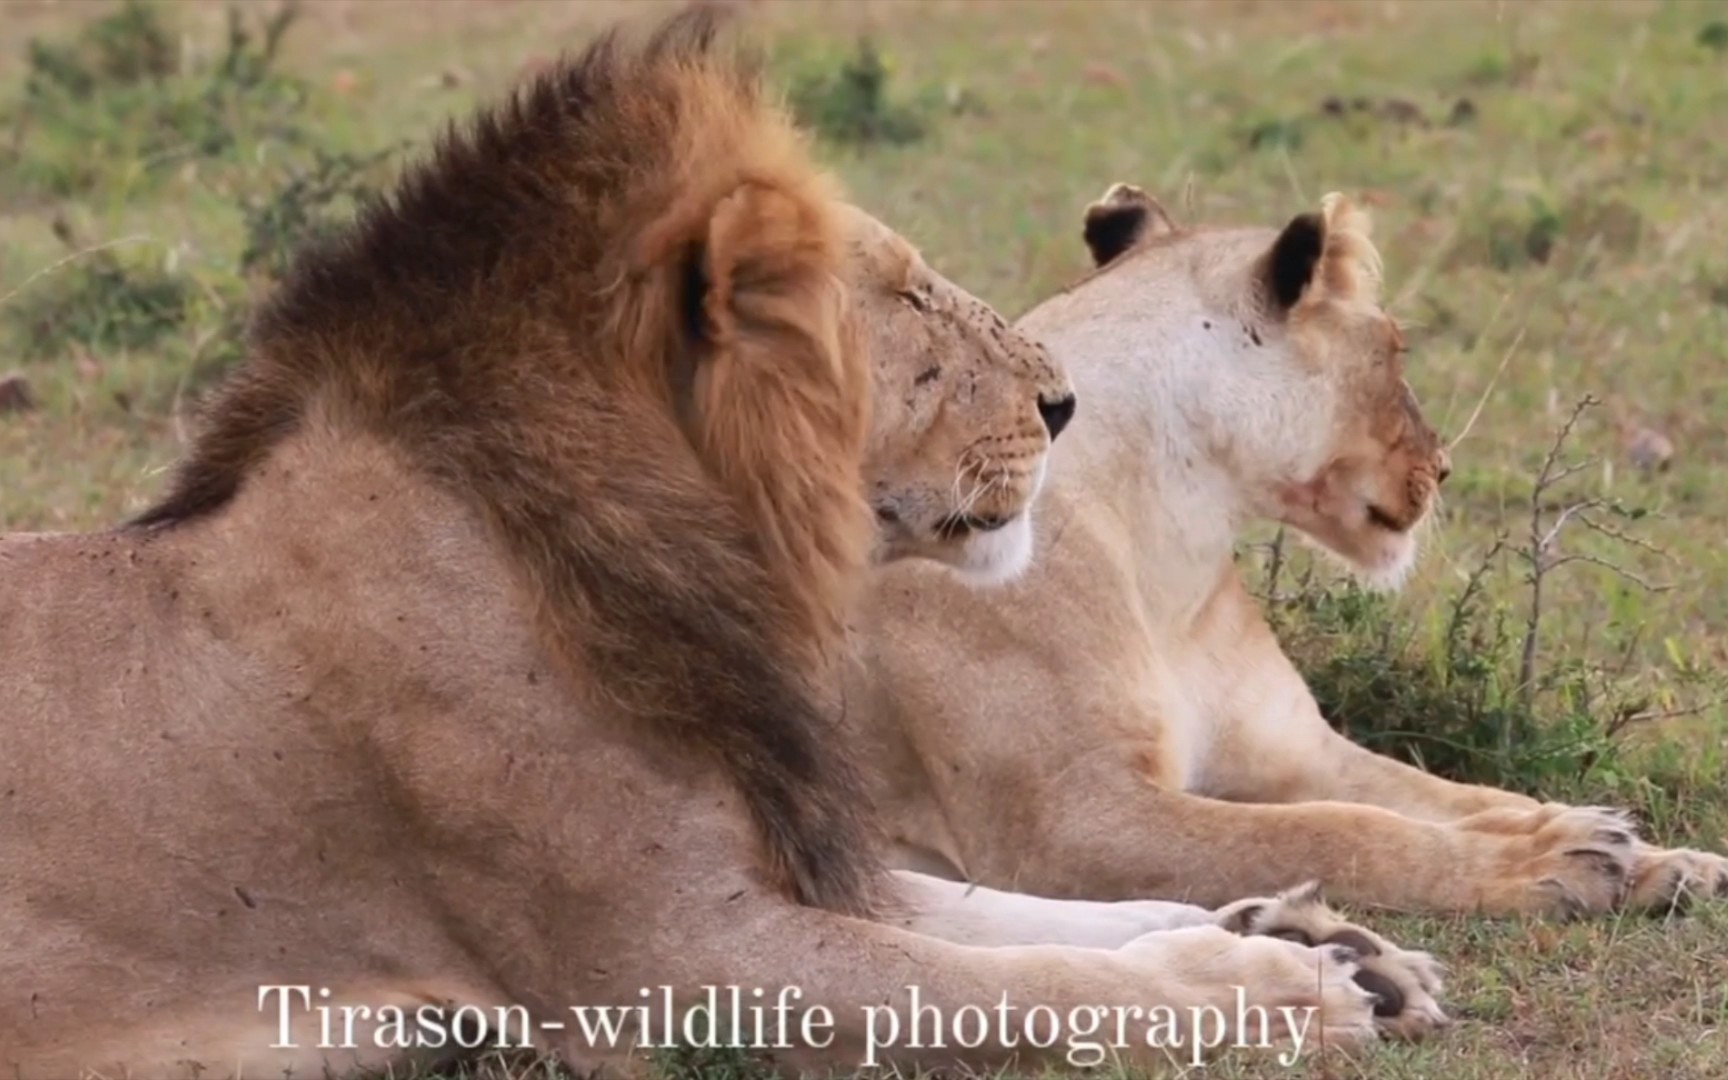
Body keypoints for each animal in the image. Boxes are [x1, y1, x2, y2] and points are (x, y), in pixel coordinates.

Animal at [0, 19, 1444, 1078]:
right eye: (906, 297)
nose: (1064, 402)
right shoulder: (664, 959)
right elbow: (1020, 982)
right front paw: (1275, 990)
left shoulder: (778, 858)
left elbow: (1051, 922)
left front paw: (1326, 941)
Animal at [864, 178, 1728, 919]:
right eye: (1394, 350)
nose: (1443, 466)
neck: (1168, 554)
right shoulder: (1068, 821)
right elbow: (1334, 832)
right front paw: (1551, 863)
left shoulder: (1302, 752)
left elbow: (1471, 797)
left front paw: (1662, 861)